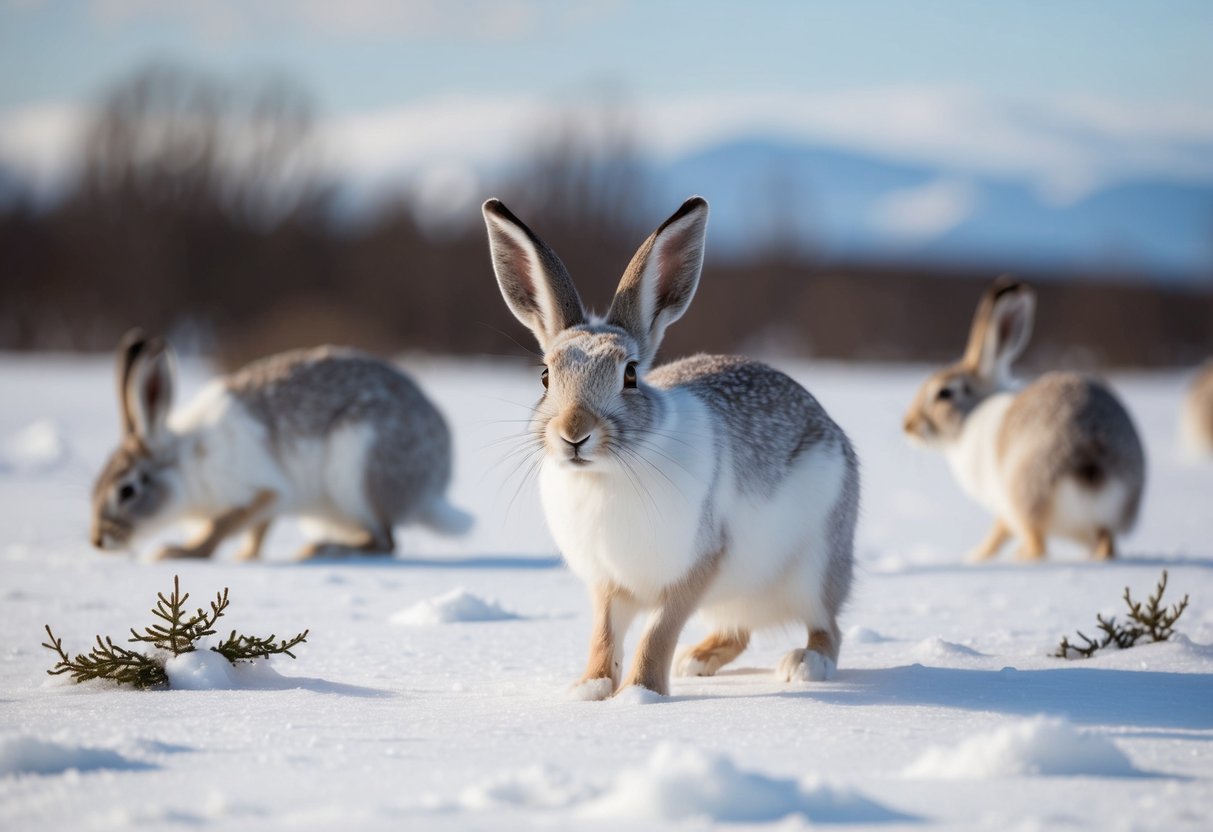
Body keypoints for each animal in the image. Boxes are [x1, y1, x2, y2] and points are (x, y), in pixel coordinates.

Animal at [90, 331, 471, 561]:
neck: (186, 463)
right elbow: (258, 530)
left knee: (386, 542)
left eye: (126, 491)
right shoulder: (273, 504)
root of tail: (432, 488)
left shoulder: (258, 491)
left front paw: (178, 553)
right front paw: (246, 556)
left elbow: (220, 526)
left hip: (357, 476)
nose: (98, 540)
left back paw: (320, 551)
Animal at [482, 196, 859, 699]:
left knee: (827, 625)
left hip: (815, 566)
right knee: (739, 632)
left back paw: (804, 664)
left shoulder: (697, 565)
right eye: (545, 376)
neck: (606, 473)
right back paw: (695, 661)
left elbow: (658, 632)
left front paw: (640, 695)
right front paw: (589, 689)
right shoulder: (609, 583)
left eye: (630, 375)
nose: (574, 432)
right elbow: (605, 634)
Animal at [903, 278, 1145, 562]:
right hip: (1103, 519)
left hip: (1025, 494)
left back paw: (1017, 558)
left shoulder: (1002, 504)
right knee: (1106, 545)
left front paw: (977, 556)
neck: (972, 414)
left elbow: (999, 531)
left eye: (944, 393)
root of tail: (1092, 460)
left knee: (1038, 544)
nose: (908, 425)